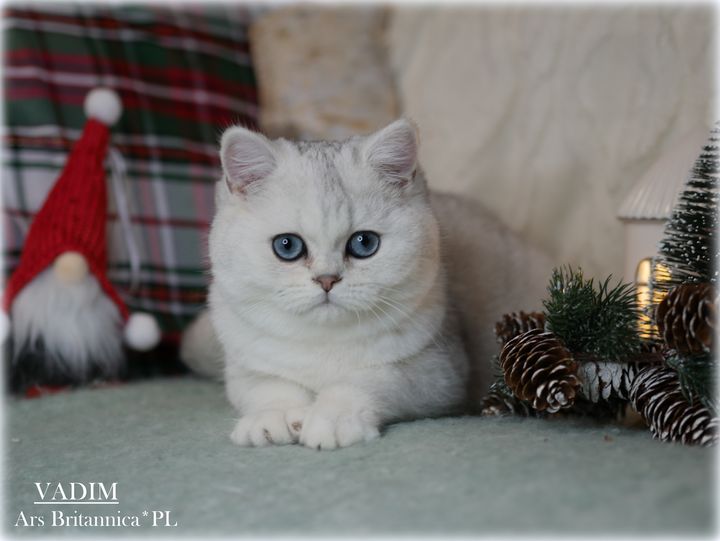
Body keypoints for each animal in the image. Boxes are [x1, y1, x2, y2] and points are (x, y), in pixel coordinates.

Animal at [181, 119, 552, 450]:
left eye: (364, 244)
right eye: (287, 246)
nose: (327, 280)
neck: (323, 344)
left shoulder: (439, 373)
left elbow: (365, 381)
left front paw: (332, 419)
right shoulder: (245, 366)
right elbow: (267, 387)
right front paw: (275, 417)